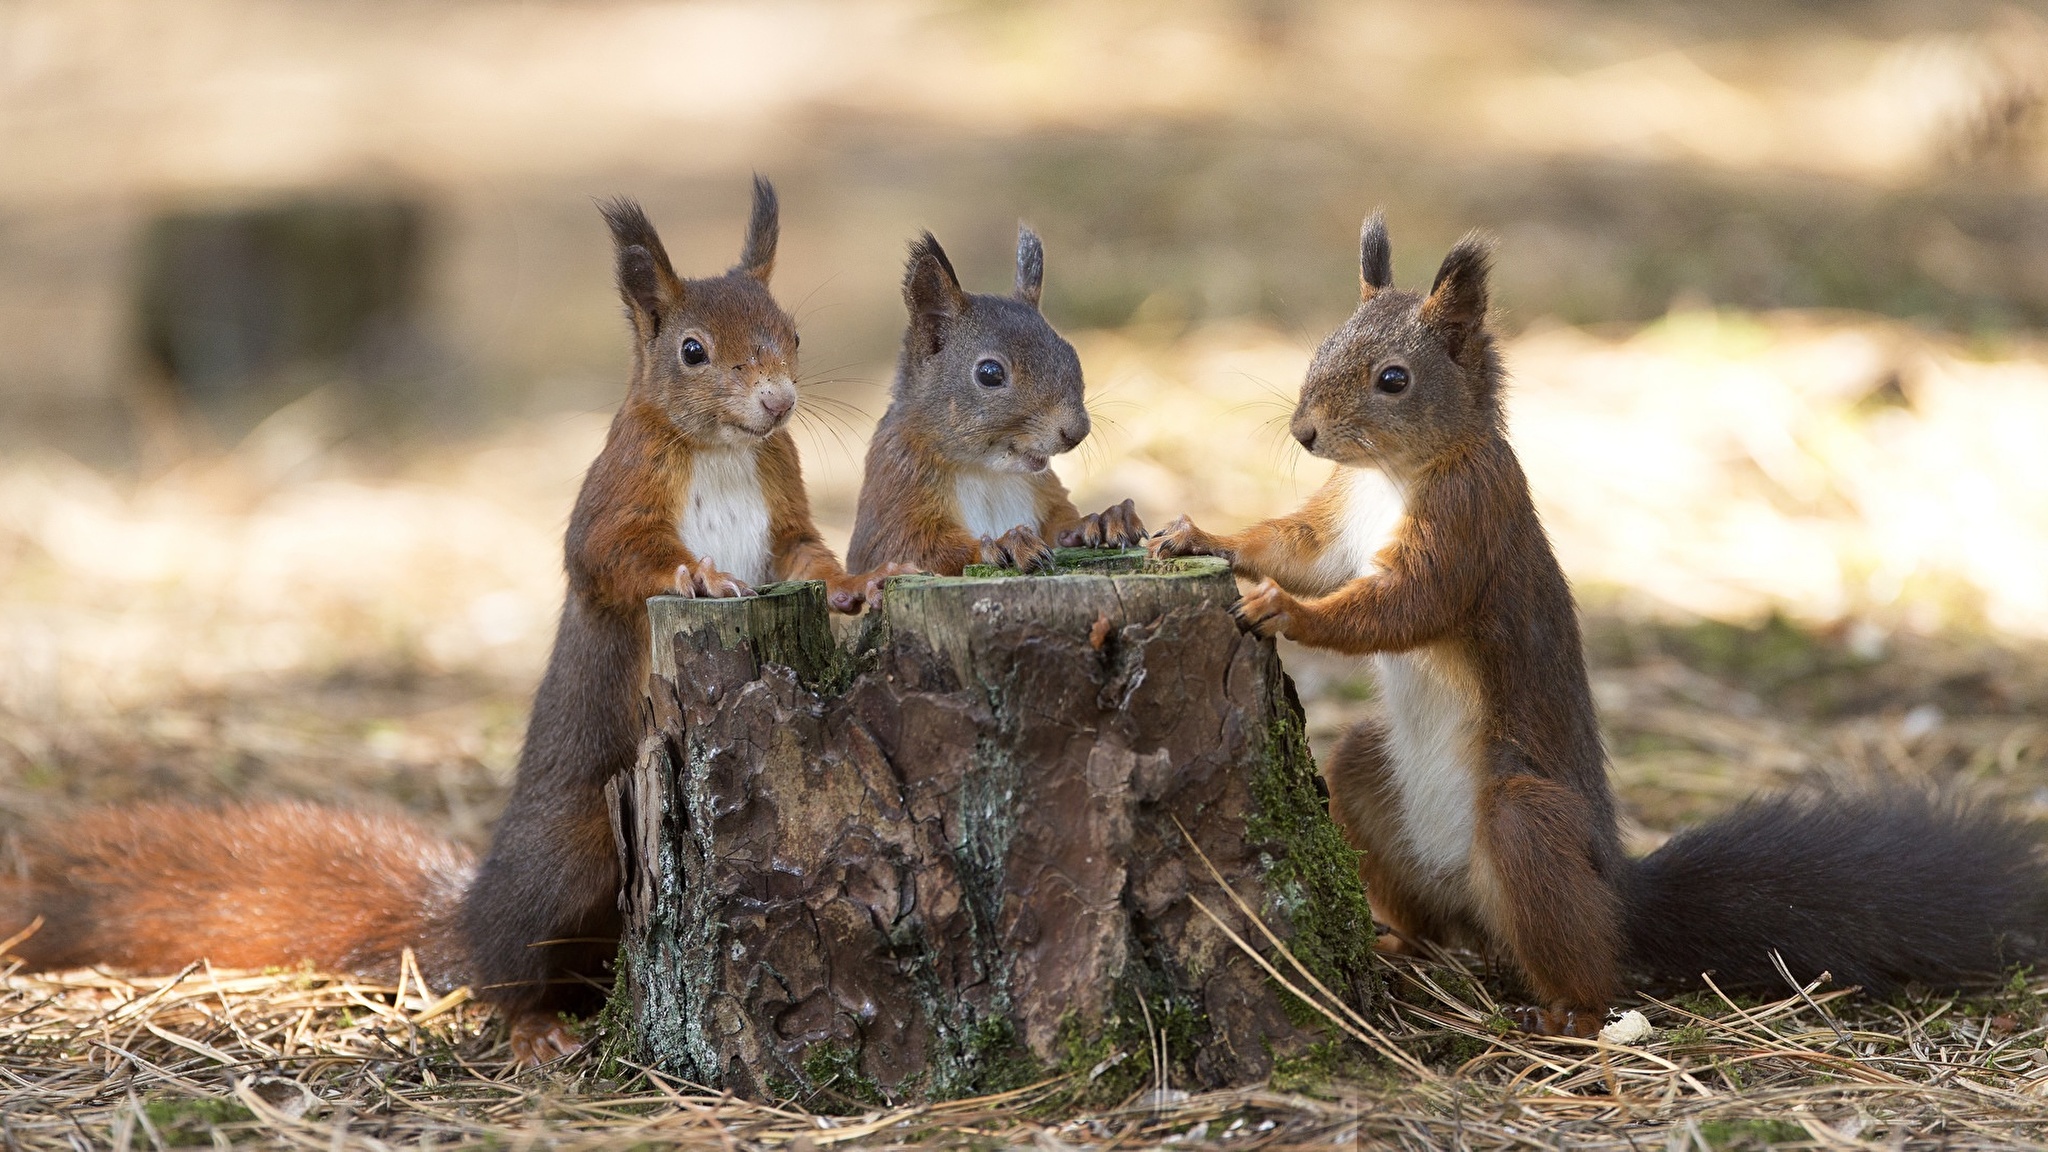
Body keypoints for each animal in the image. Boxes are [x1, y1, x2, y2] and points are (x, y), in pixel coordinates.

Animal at [4, 181, 905, 1065]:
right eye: (692, 350)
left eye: (793, 332)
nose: (778, 401)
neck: (721, 451)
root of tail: (468, 915)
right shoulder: (614, 500)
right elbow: (613, 557)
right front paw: (702, 575)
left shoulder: (781, 505)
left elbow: (808, 558)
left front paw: (862, 583)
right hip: (568, 861)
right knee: (507, 973)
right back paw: (535, 1028)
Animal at [1155, 215, 2048, 1033]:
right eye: (1321, 347)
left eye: (1394, 378)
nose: (1304, 432)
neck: (1393, 476)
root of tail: (1618, 894)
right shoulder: (1339, 521)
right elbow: (1296, 547)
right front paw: (1201, 537)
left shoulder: (1470, 523)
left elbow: (1403, 604)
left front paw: (1285, 609)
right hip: (1371, 779)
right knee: (1431, 911)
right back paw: (1397, 945)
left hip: (1527, 823)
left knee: (1587, 960)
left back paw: (1567, 1015)